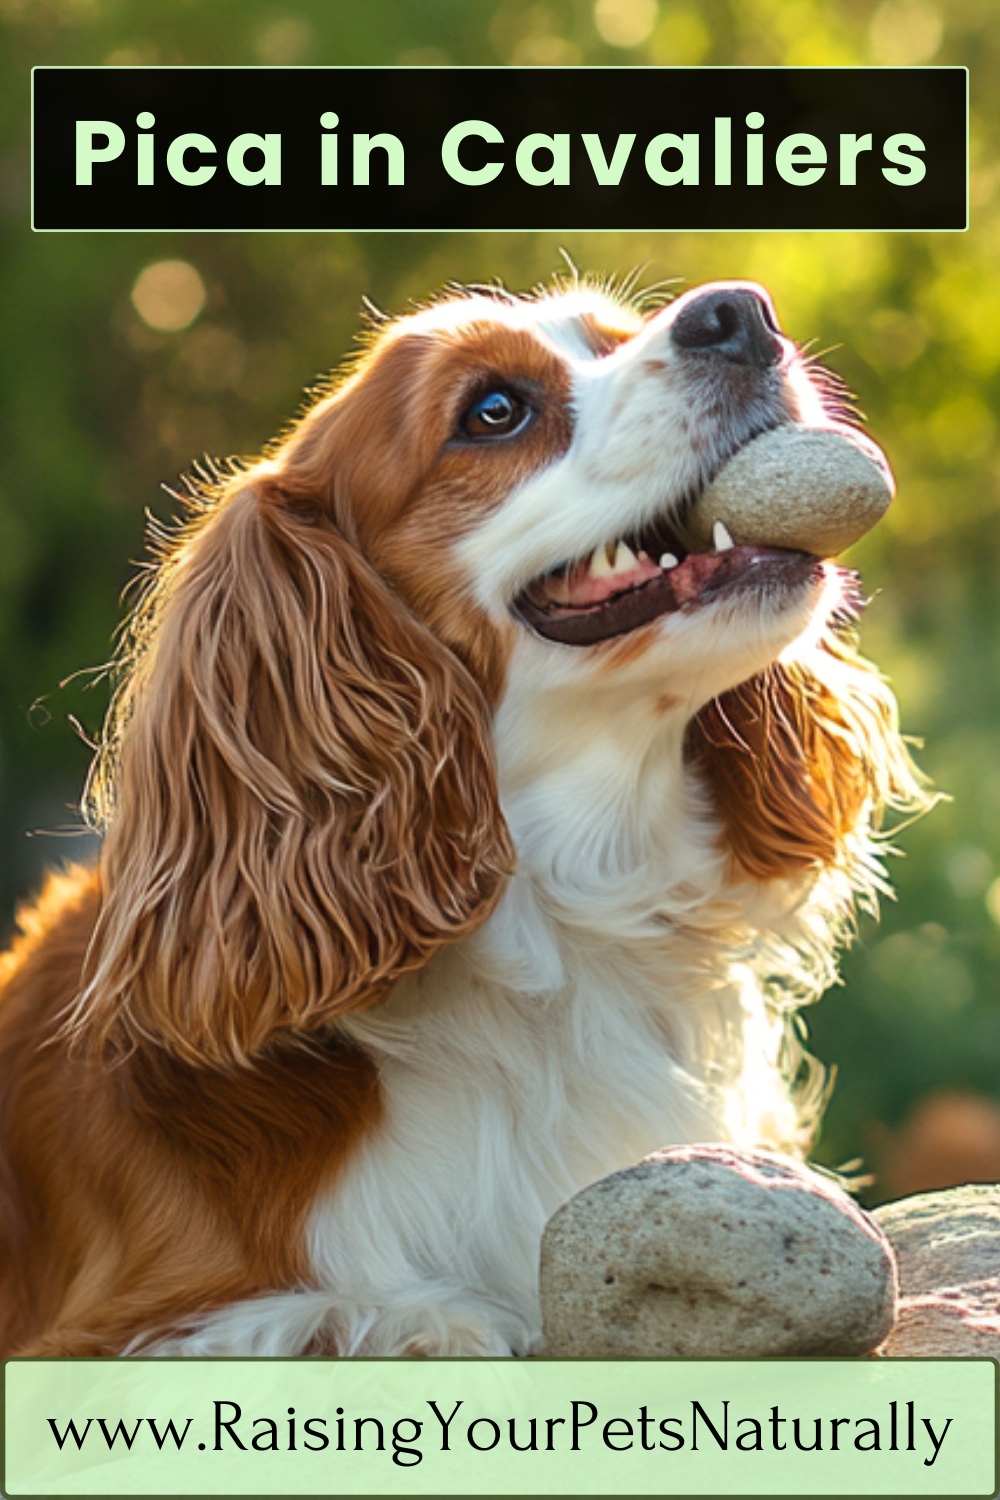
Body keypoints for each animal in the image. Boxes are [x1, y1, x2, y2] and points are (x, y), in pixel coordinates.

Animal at [0, 282, 923, 1362]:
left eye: (612, 340)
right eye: (493, 411)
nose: (738, 311)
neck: (559, 929)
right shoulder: (118, 1331)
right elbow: (380, 1316)